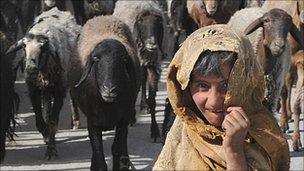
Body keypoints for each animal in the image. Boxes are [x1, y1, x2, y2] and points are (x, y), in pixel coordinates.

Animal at [5, 6, 81, 159]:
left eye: (43, 49)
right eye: (24, 47)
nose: (30, 70)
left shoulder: (59, 90)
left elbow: (53, 121)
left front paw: (51, 150)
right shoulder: (33, 89)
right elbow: (40, 121)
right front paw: (46, 135)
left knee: (73, 97)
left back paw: (75, 121)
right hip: (45, 89)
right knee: (46, 106)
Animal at [68, 15, 140, 170]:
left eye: (123, 59)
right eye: (96, 59)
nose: (109, 89)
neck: (108, 105)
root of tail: (103, 16)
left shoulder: (123, 119)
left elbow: (116, 149)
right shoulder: (92, 121)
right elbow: (99, 157)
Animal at [113, 0, 165, 142]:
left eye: (158, 23)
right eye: (141, 22)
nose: (152, 44)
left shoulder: (152, 65)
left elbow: (152, 101)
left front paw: (155, 131)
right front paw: (131, 117)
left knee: (143, 80)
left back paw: (143, 105)